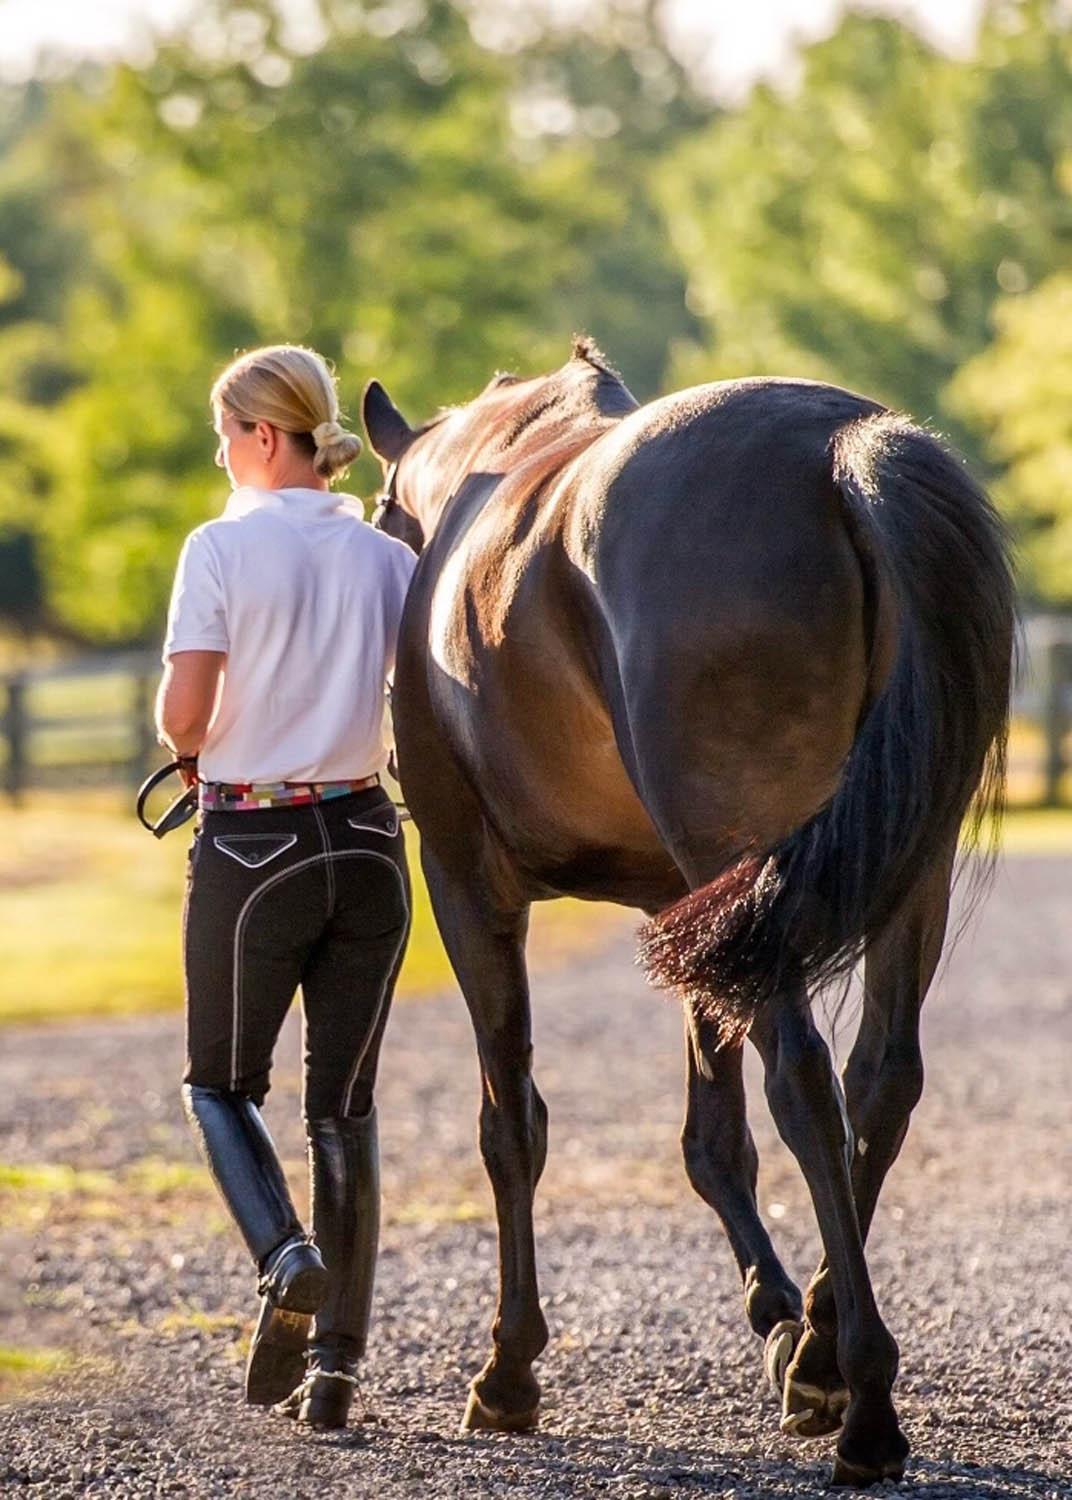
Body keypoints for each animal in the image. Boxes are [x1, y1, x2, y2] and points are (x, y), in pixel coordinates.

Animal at [362, 343, 1013, 1488]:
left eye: (378, 521)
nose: (389, 755)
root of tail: (840, 449)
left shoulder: (468, 887)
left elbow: (510, 1123)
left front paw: (509, 1370)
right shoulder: (689, 912)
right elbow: (713, 1141)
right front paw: (781, 1326)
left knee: (804, 1084)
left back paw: (865, 1406)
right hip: (897, 870)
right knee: (879, 1082)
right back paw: (827, 1351)